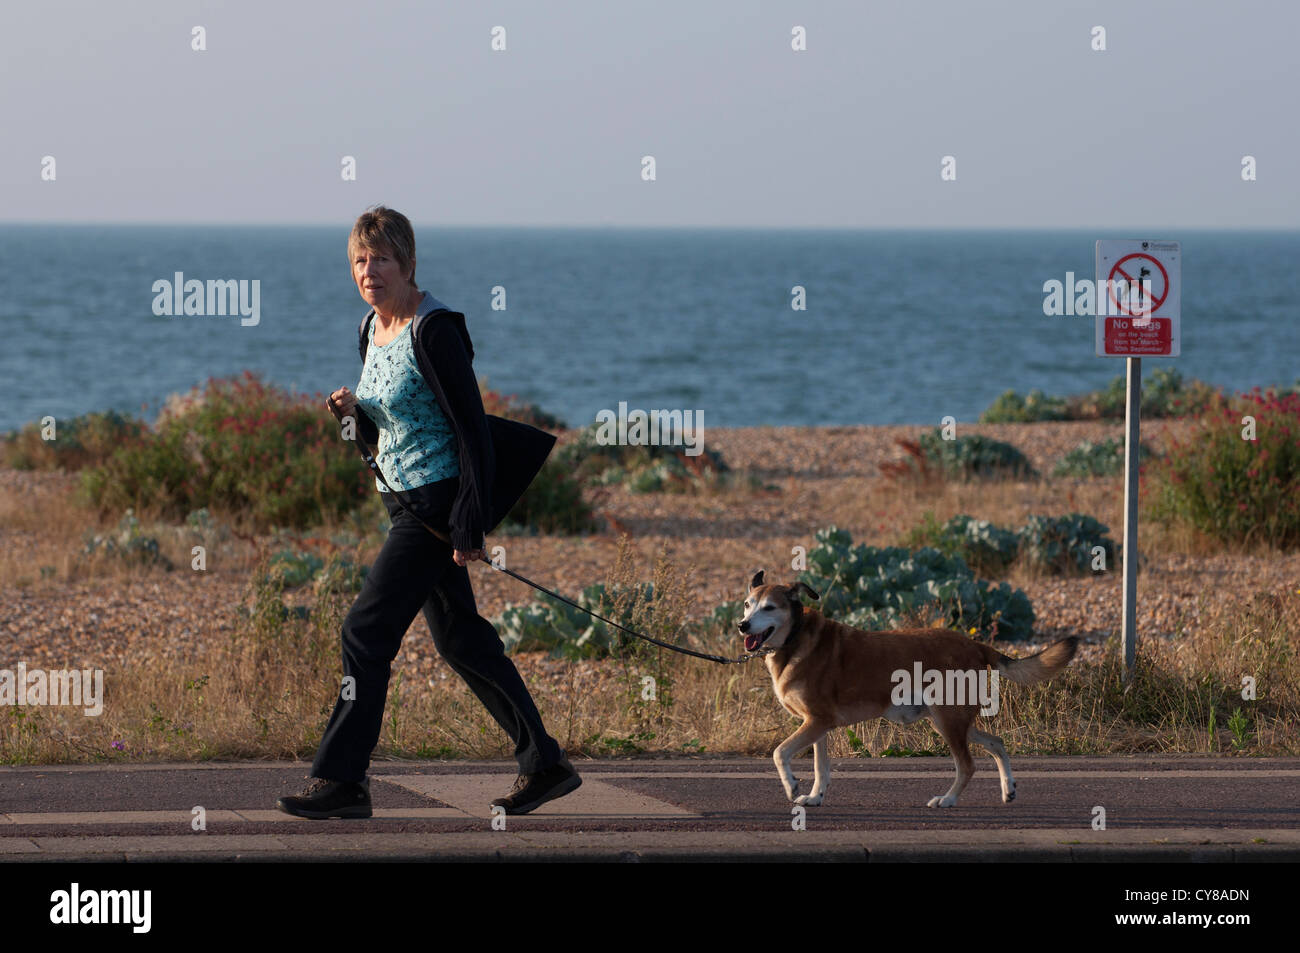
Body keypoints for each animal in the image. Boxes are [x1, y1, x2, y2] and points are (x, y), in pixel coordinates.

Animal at [743, 569, 1076, 806]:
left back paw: (948, 800)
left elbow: (779, 753)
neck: (794, 637)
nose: (742, 625)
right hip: (951, 720)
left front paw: (791, 785)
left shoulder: (817, 722)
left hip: (948, 720)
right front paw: (814, 797)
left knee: (967, 765)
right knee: (996, 743)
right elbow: (820, 767)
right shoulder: (817, 726)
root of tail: (976, 645)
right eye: (747, 605)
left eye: (769, 607)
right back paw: (1008, 789)